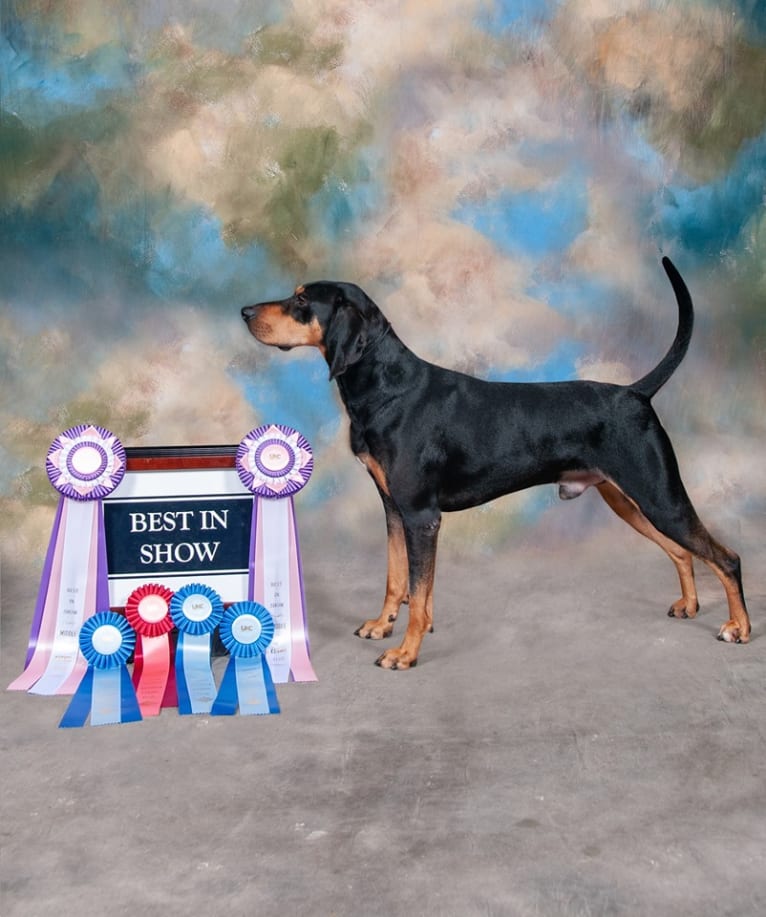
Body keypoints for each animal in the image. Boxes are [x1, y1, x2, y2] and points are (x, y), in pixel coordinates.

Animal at [243, 258, 752, 664]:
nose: (246, 312)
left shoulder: (421, 515)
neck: (386, 386)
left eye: (302, 300)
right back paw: (689, 605)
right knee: (682, 551)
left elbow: (419, 594)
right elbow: (397, 578)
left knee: (725, 558)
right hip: (627, 499)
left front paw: (405, 652)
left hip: (657, 494)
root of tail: (633, 393)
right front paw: (382, 625)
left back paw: (739, 628)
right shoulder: (394, 509)